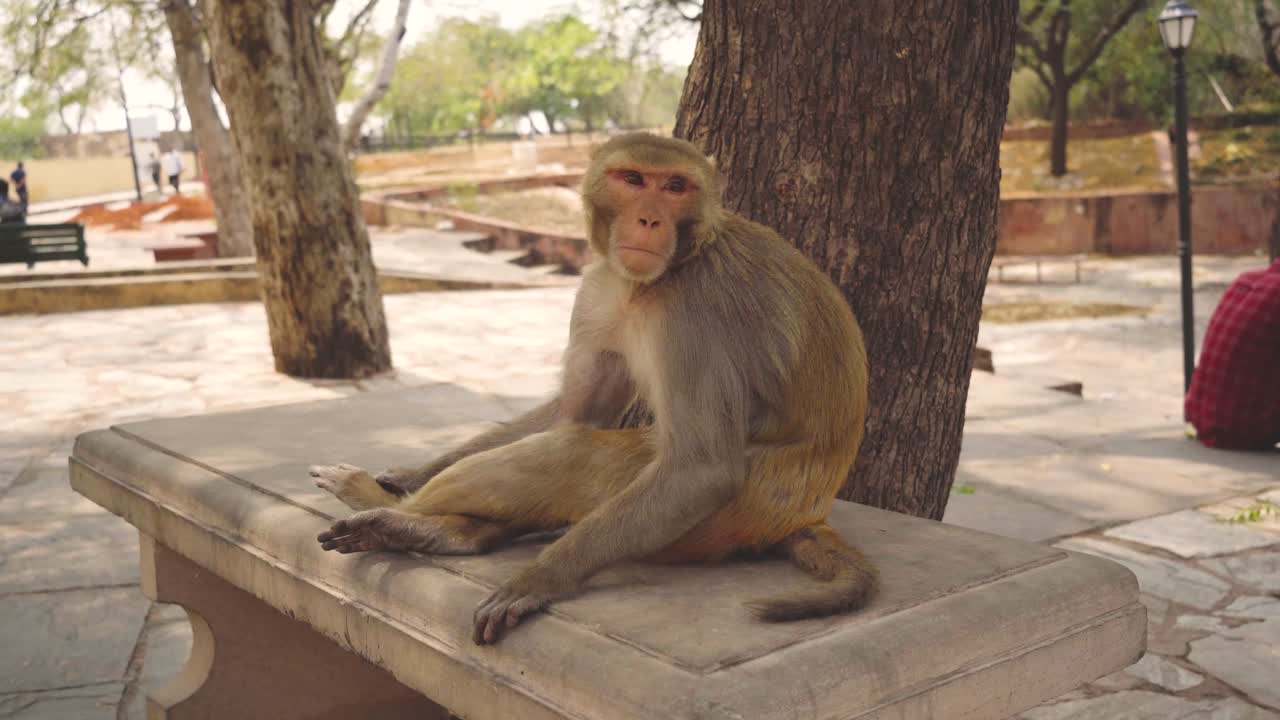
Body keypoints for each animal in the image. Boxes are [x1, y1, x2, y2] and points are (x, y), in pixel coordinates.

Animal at [311, 132, 876, 645]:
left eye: (675, 186)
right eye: (633, 180)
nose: (649, 219)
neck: (657, 279)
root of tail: (804, 512)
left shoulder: (697, 312)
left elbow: (702, 467)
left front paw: (543, 577)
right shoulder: (599, 288)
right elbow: (577, 409)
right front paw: (413, 472)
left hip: (735, 512)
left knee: (574, 455)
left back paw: (380, 507)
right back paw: (435, 528)